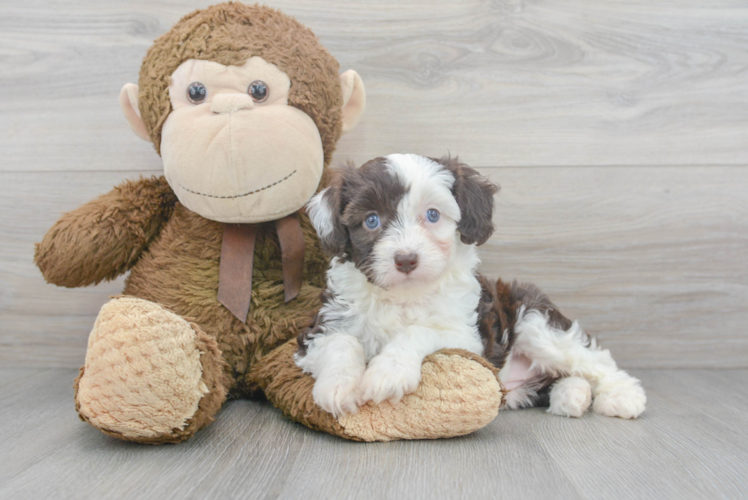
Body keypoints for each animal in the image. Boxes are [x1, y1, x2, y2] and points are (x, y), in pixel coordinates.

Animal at [296, 154, 644, 420]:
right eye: (371, 220)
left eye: (432, 215)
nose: (406, 259)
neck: (404, 295)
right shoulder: (318, 331)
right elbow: (342, 342)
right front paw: (337, 386)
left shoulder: (468, 337)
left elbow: (419, 330)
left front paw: (389, 372)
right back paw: (572, 395)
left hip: (534, 322)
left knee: (592, 359)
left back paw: (622, 395)